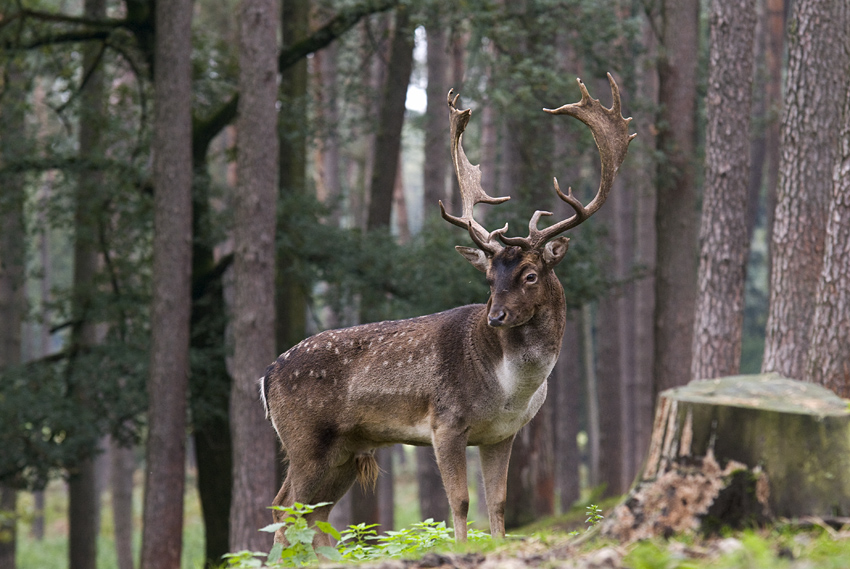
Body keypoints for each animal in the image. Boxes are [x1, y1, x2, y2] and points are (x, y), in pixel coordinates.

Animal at [262, 73, 632, 544]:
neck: (509, 390)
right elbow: (460, 502)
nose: (496, 316)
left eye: (530, 274)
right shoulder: (445, 423)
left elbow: (498, 503)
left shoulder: (501, 435)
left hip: (344, 449)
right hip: (306, 439)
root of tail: (266, 376)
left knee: (312, 513)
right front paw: (460, 548)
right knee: (286, 506)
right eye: (489, 278)